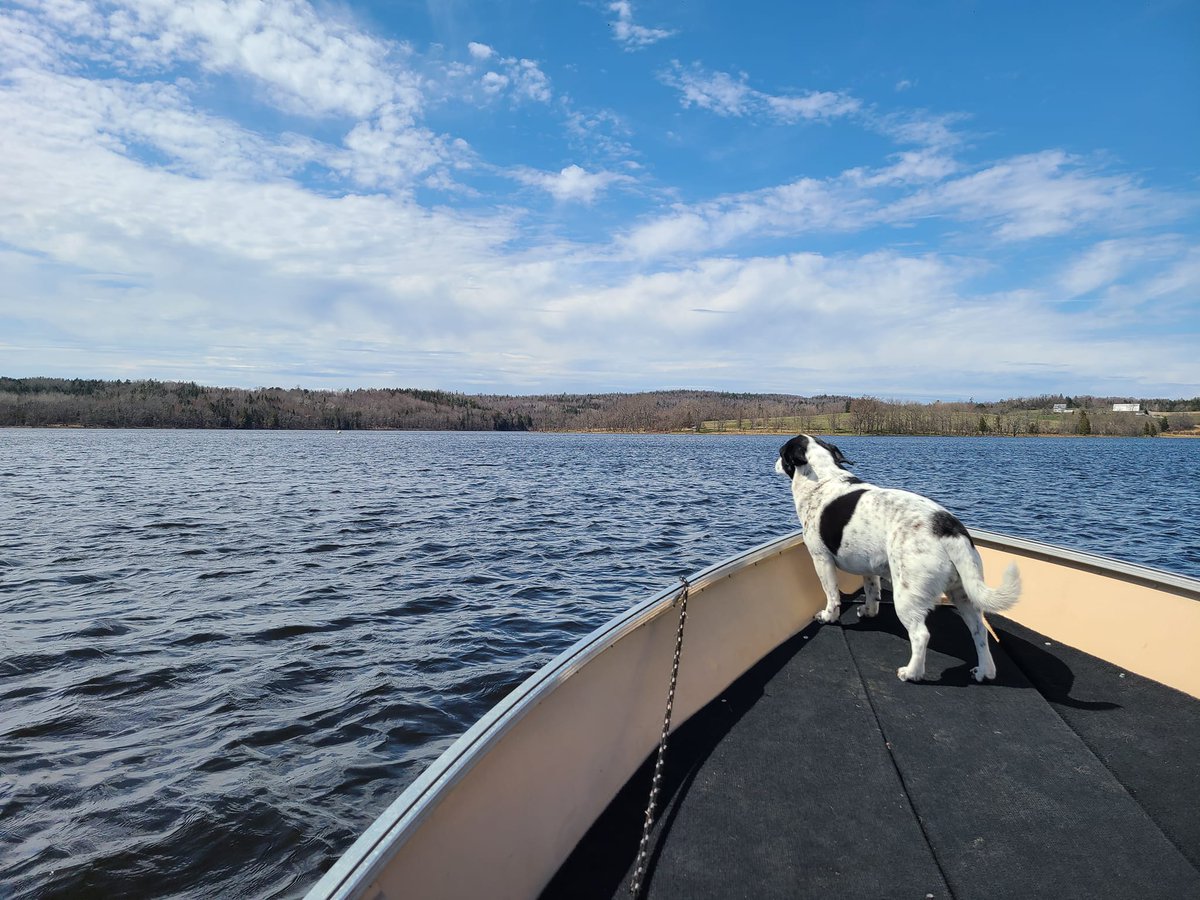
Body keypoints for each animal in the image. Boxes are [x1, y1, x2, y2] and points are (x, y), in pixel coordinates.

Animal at [777, 436, 1022, 681]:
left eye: (781, 452)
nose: (775, 462)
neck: (823, 478)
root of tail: (948, 528)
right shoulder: (868, 567)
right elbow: (871, 591)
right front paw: (869, 612)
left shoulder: (821, 559)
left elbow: (832, 595)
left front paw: (828, 616)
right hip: (963, 594)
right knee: (980, 632)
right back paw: (984, 671)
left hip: (906, 596)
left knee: (921, 634)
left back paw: (911, 673)